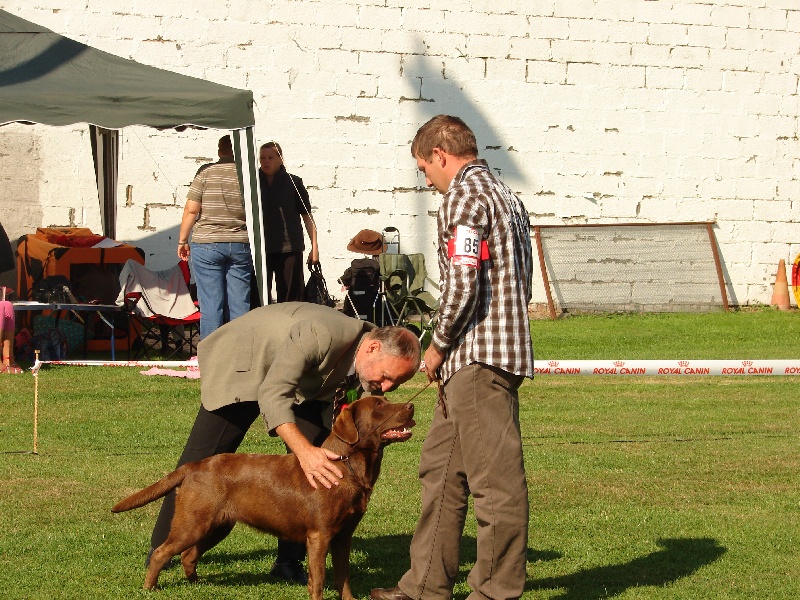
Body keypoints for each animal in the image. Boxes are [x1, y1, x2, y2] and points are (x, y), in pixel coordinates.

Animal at [112, 396, 416, 596]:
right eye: (379, 406)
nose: (411, 406)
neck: (347, 465)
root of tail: (194, 466)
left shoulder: (344, 535)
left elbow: (344, 576)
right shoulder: (319, 535)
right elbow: (318, 579)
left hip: (217, 524)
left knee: (189, 554)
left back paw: (197, 584)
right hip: (194, 522)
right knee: (162, 552)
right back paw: (149, 588)